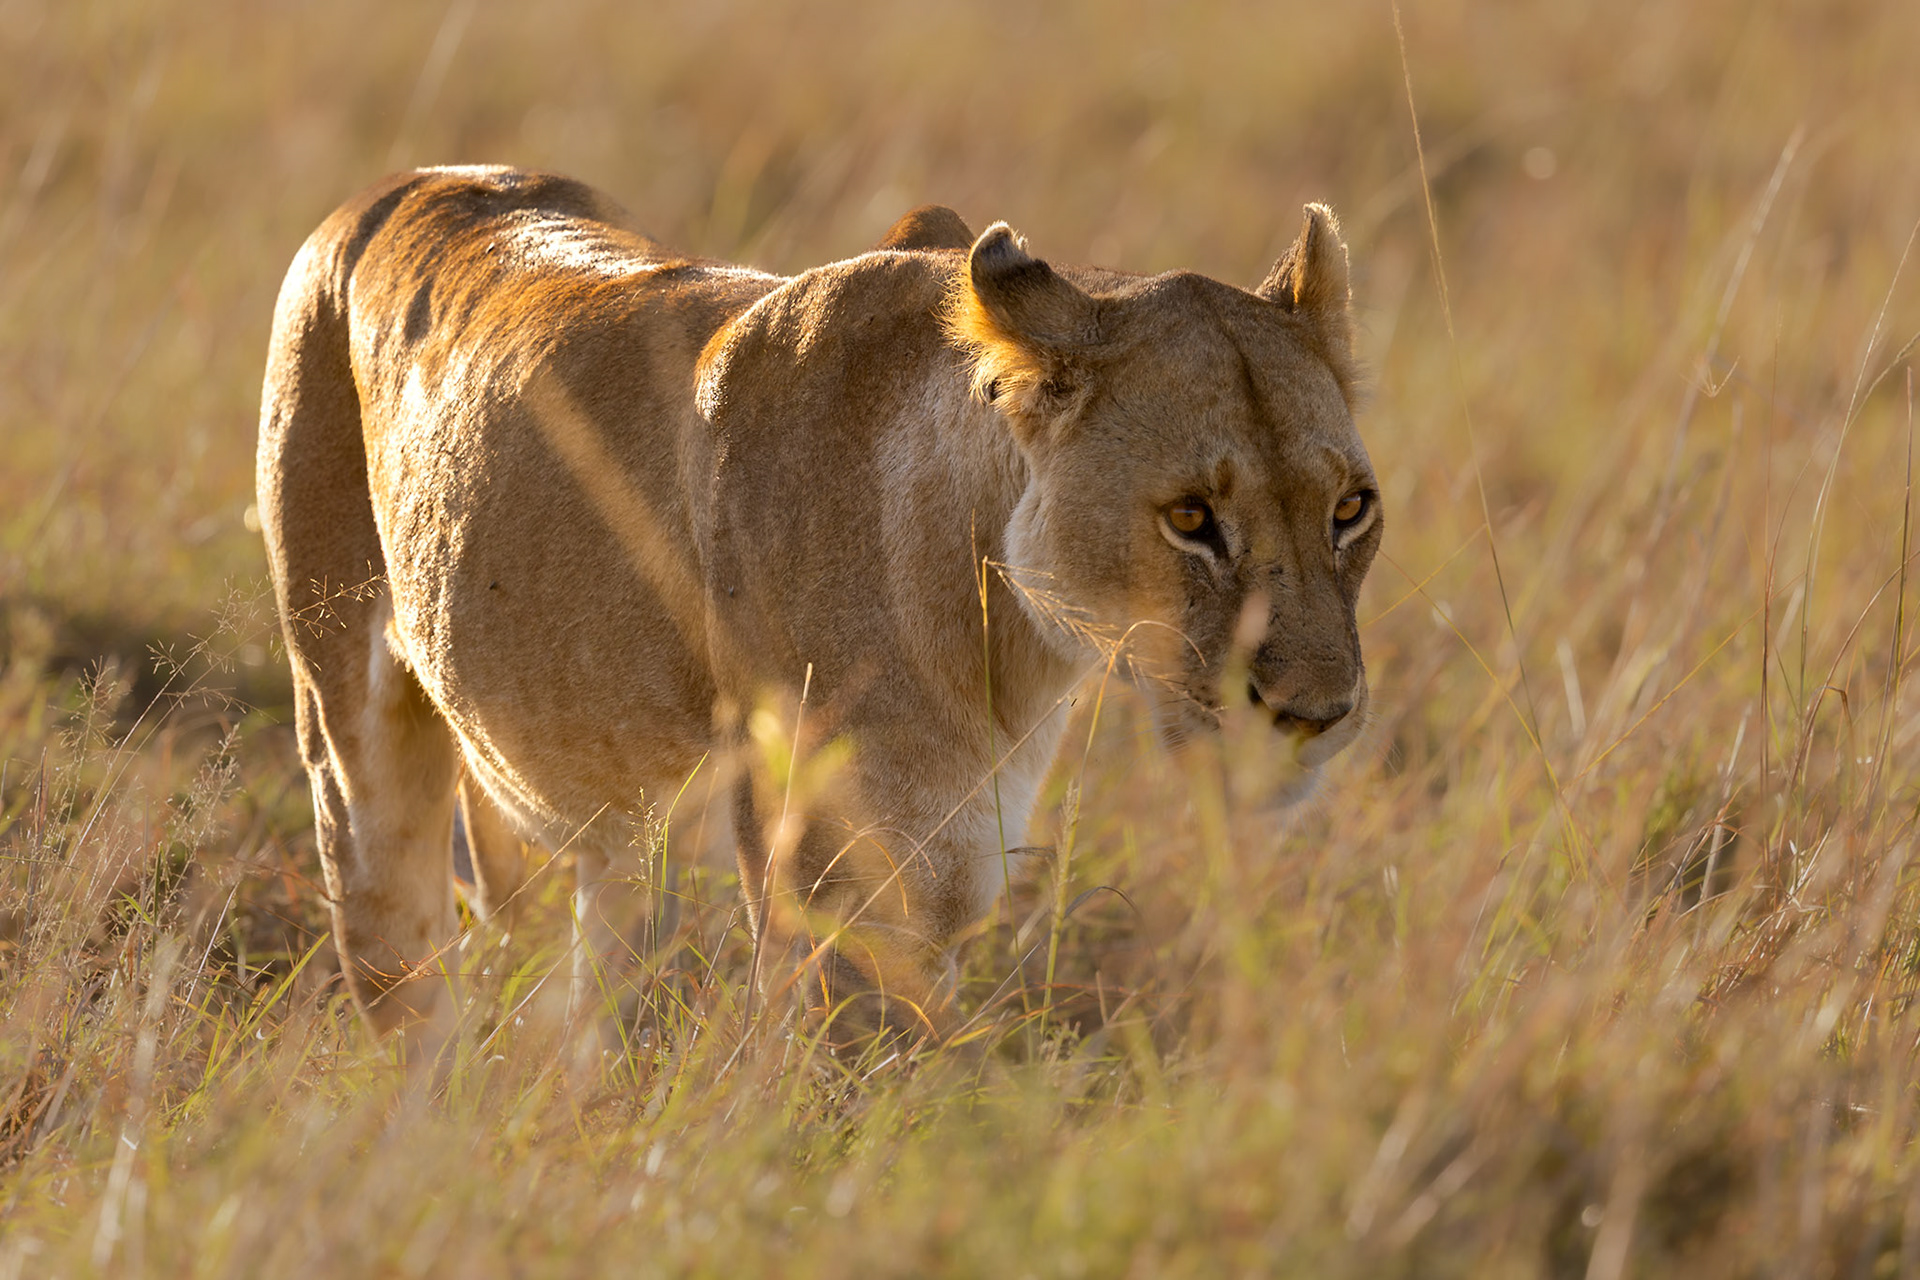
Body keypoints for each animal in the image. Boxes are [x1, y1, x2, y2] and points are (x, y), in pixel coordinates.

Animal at [256, 165, 1380, 1051]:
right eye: (1191, 518)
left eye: (1350, 510)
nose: (1316, 717)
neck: (1007, 647)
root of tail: (401, 185)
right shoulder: (835, 881)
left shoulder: (953, 863)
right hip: (351, 746)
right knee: (403, 974)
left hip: (612, 828)